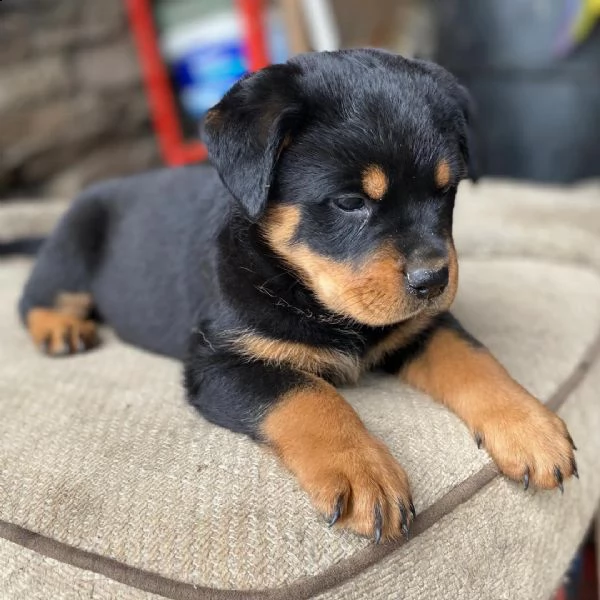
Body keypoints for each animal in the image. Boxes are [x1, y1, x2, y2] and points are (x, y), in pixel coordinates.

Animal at [21, 49, 580, 540]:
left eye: (447, 191)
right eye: (350, 202)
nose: (433, 281)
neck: (310, 293)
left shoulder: (419, 327)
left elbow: (474, 358)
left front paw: (531, 427)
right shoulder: (220, 361)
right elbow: (308, 394)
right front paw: (363, 472)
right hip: (72, 244)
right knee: (33, 296)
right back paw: (61, 328)